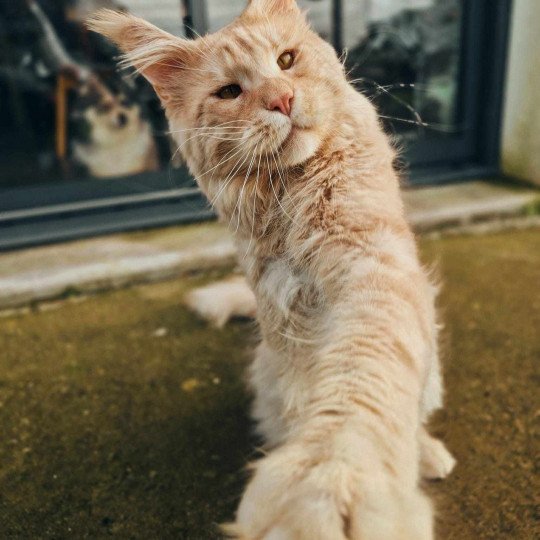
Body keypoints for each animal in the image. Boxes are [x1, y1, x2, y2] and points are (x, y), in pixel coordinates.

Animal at [88, 2, 456, 536]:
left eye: (286, 60)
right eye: (229, 92)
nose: (282, 98)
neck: (293, 199)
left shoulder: (369, 265)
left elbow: (363, 375)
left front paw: (334, 473)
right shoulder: (284, 311)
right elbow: (306, 398)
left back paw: (425, 454)